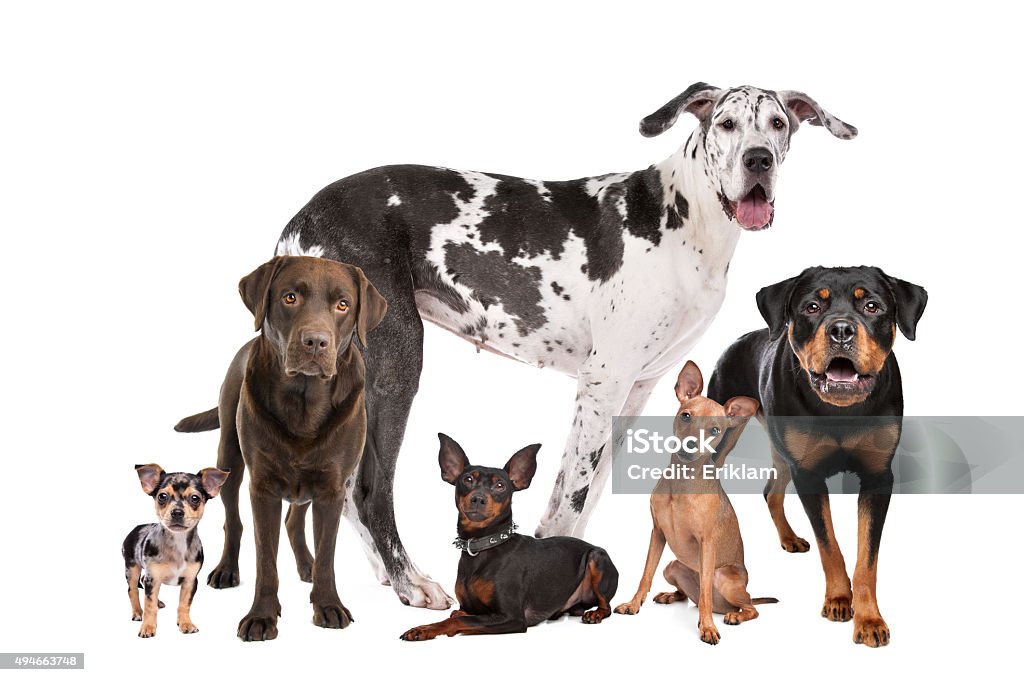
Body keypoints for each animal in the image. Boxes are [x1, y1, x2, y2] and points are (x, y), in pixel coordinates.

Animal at [122, 464, 228, 634]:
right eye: (162, 496)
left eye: (195, 498)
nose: (177, 512)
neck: (178, 543)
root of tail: (135, 528)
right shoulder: (153, 578)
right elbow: (149, 606)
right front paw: (148, 627)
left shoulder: (190, 581)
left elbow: (184, 604)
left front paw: (185, 623)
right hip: (131, 568)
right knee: (133, 590)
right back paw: (138, 612)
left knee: (143, 583)